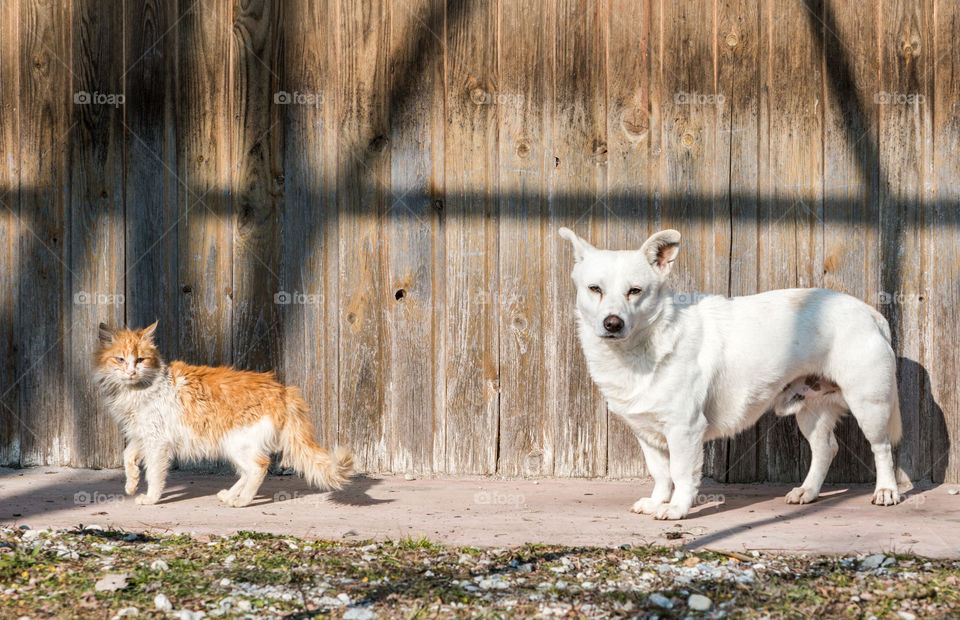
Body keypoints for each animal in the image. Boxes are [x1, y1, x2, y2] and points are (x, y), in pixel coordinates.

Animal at [94, 322, 352, 506]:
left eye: (140, 360)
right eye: (120, 359)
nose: (131, 372)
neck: (138, 389)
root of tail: (282, 390)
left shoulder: (157, 442)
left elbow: (155, 474)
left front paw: (150, 498)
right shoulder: (142, 434)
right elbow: (127, 455)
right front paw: (131, 484)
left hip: (236, 443)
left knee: (259, 467)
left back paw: (242, 501)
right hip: (234, 445)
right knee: (248, 471)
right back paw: (230, 496)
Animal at [556, 228, 900, 520]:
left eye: (635, 291)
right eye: (595, 289)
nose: (612, 323)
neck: (641, 347)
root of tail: (869, 312)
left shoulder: (685, 429)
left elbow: (681, 473)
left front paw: (676, 508)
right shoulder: (647, 432)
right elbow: (661, 473)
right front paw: (657, 501)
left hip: (870, 406)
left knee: (881, 448)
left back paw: (886, 491)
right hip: (811, 411)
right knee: (826, 449)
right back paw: (808, 491)